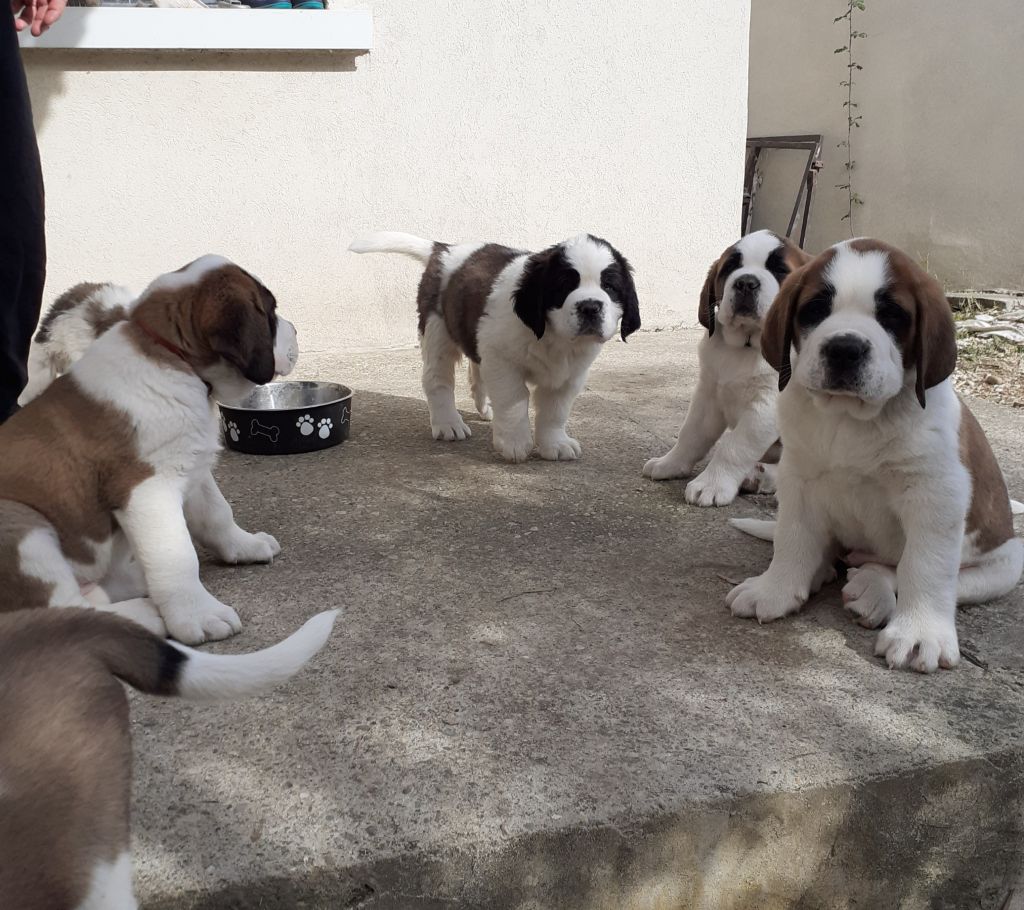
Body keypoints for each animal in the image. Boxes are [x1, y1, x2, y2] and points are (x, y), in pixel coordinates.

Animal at [0, 255, 299, 646]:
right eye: (271, 313)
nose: (297, 333)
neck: (174, 358)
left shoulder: (189, 462)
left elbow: (216, 512)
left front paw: (244, 546)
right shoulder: (148, 490)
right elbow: (177, 555)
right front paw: (200, 615)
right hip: (21, 526)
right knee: (59, 611)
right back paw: (142, 616)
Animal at [352, 230, 638, 460]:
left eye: (610, 287)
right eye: (564, 286)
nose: (590, 307)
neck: (553, 337)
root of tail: (444, 249)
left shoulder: (570, 374)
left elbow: (555, 409)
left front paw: (554, 444)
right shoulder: (503, 361)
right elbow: (514, 400)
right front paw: (514, 443)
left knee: (476, 371)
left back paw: (483, 407)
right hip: (437, 328)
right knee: (437, 379)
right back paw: (448, 423)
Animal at [643, 229, 811, 503]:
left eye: (780, 270)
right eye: (731, 267)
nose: (746, 283)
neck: (746, 346)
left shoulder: (766, 406)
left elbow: (735, 446)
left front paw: (711, 484)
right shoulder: (709, 394)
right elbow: (691, 433)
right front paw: (670, 463)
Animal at [724, 237, 1019, 671]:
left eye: (892, 315)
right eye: (815, 309)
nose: (844, 349)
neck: (851, 418)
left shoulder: (936, 495)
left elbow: (924, 566)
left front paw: (920, 632)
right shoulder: (799, 479)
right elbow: (793, 537)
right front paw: (776, 588)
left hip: (1005, 562)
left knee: (902, 570)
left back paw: (872, 587)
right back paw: (826, 571)